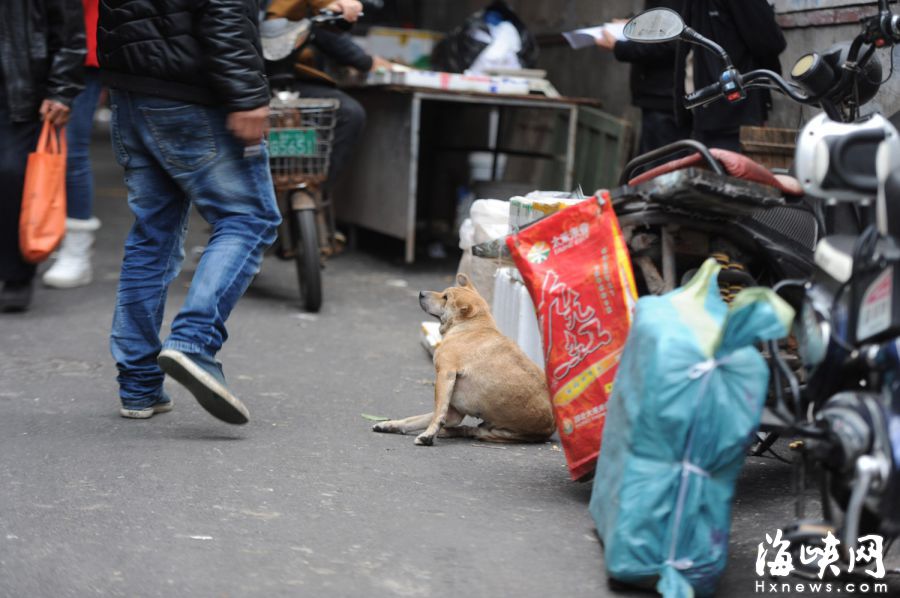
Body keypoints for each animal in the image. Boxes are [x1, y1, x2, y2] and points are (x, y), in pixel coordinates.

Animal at [370, 274, 552, 448]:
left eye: (446, 297)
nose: (421, 293)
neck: (471, 325)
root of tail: (551, 427)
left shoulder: (445, 375)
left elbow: (437, 414)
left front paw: (428, 435)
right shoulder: (452, 410)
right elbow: (416, 419)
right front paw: (393, 425)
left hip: (493, 433)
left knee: (470, 430)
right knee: (463, 428)